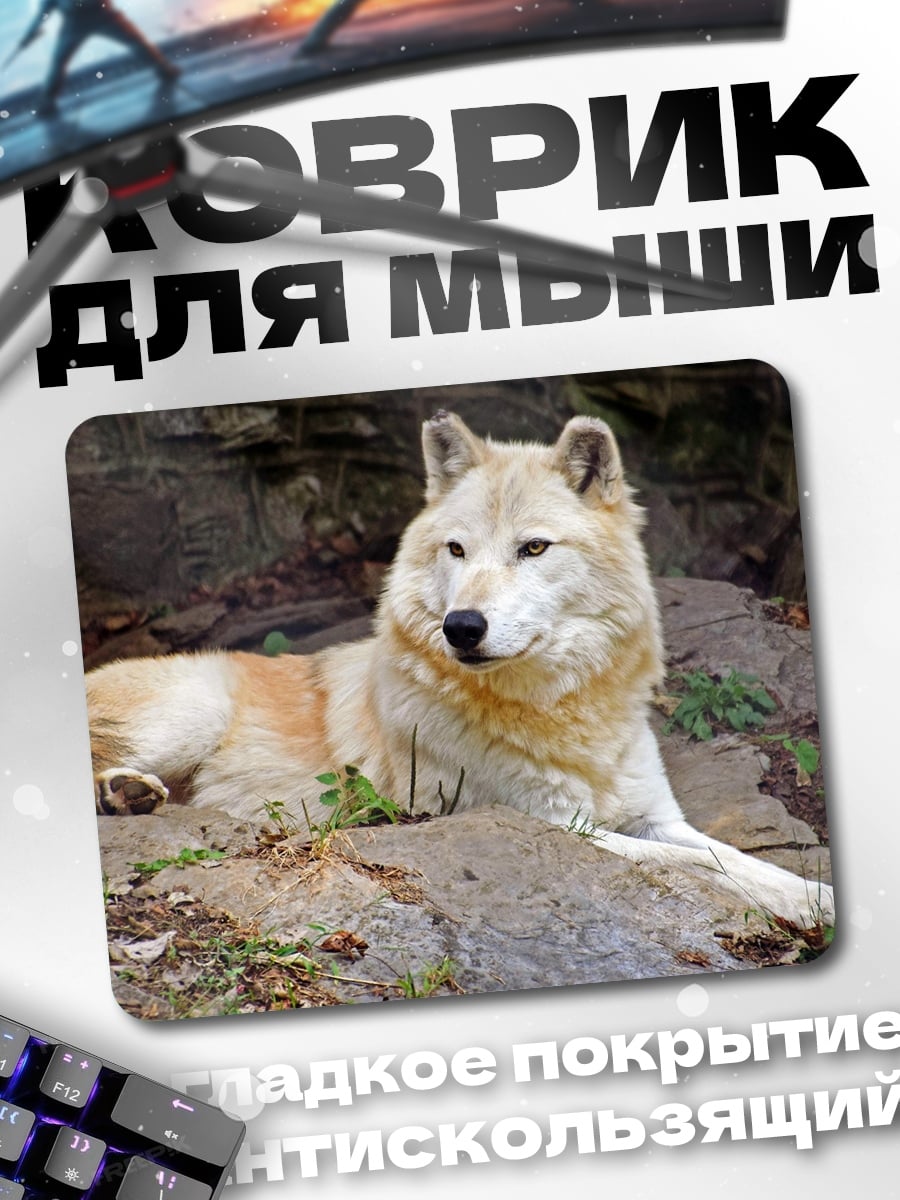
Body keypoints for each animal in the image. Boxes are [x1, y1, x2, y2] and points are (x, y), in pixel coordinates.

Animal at [87, 411, 833, 926]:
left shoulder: (651, 815)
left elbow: (726, 855)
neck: (561, 714)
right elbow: (697, 863)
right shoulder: (557, 826)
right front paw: (804, 908)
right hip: (197, 710)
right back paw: (125, 794)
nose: (461, 627)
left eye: (534, 548)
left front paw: (811, 894)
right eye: (456, 550)